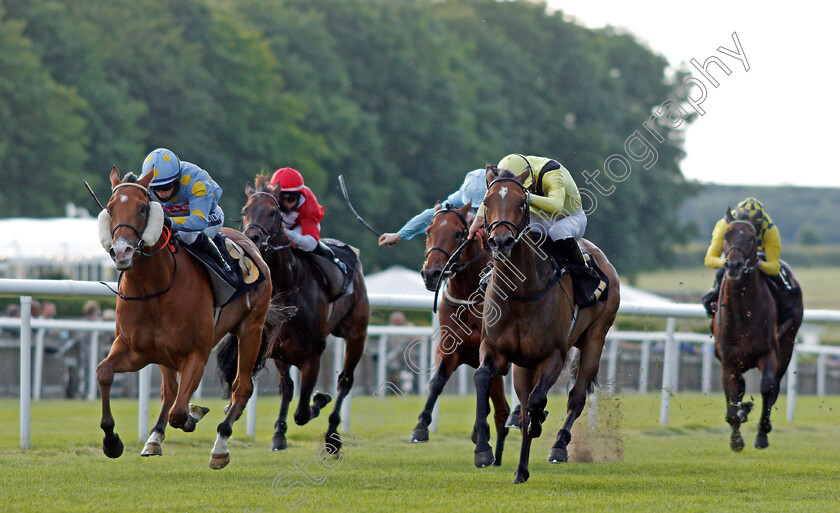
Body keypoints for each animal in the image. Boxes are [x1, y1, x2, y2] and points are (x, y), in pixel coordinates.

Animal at [98, 167, 274, 468]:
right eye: (110, 208)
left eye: (143, 208)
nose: (122, 251)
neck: (154, 288)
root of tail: (251, 244)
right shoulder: (135, 350)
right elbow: (104, 372)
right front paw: (112, 441)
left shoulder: (196, 354)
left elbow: (179, 413)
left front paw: (194, 415)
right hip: (164, 353)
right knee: (169, 391)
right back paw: (154, 438)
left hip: (251, 328)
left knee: (242, 387)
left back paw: (220, 447)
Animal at [220, 173, 368, 452]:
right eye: (245, 211)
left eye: (272, 211)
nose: (252, 237)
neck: (289, 286)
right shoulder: (279, 350)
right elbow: (287, 389)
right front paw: (279, 434)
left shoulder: (313, 356)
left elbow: (302, 412)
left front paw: (320, 399)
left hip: (357, 333)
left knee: (345, 381)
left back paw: (333, 434)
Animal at [410, 201, 508, 464]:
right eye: (428, 231)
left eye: (457, 233)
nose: (431, 274)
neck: (469, 296)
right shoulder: (449, 346)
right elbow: (436, 381)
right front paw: (420, 427)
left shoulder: (491, 352)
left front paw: (482, 444)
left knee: (505, 410)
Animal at [476, 166, 620, 482]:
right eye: (486, 201)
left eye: (521, 203)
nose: (501, 241)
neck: (520, 292)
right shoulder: (494, 348)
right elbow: (483, 378)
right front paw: (483, 449)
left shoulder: (554, 354)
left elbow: (537, 401)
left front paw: (539, 424)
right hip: (523, 365)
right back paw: (521, 468)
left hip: (595, 339)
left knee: (576, 397)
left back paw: (559, 447)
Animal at [712, 206, 804, 450]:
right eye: (726, 235)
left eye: (752, 238)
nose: (733, 266)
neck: (744, 315)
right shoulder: (728, 361)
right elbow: (732, 394)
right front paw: (736, 437)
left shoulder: (768, 352)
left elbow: (767, 387)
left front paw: (761, 433)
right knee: (741, 388)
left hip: (787, 344)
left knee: (774, 387)